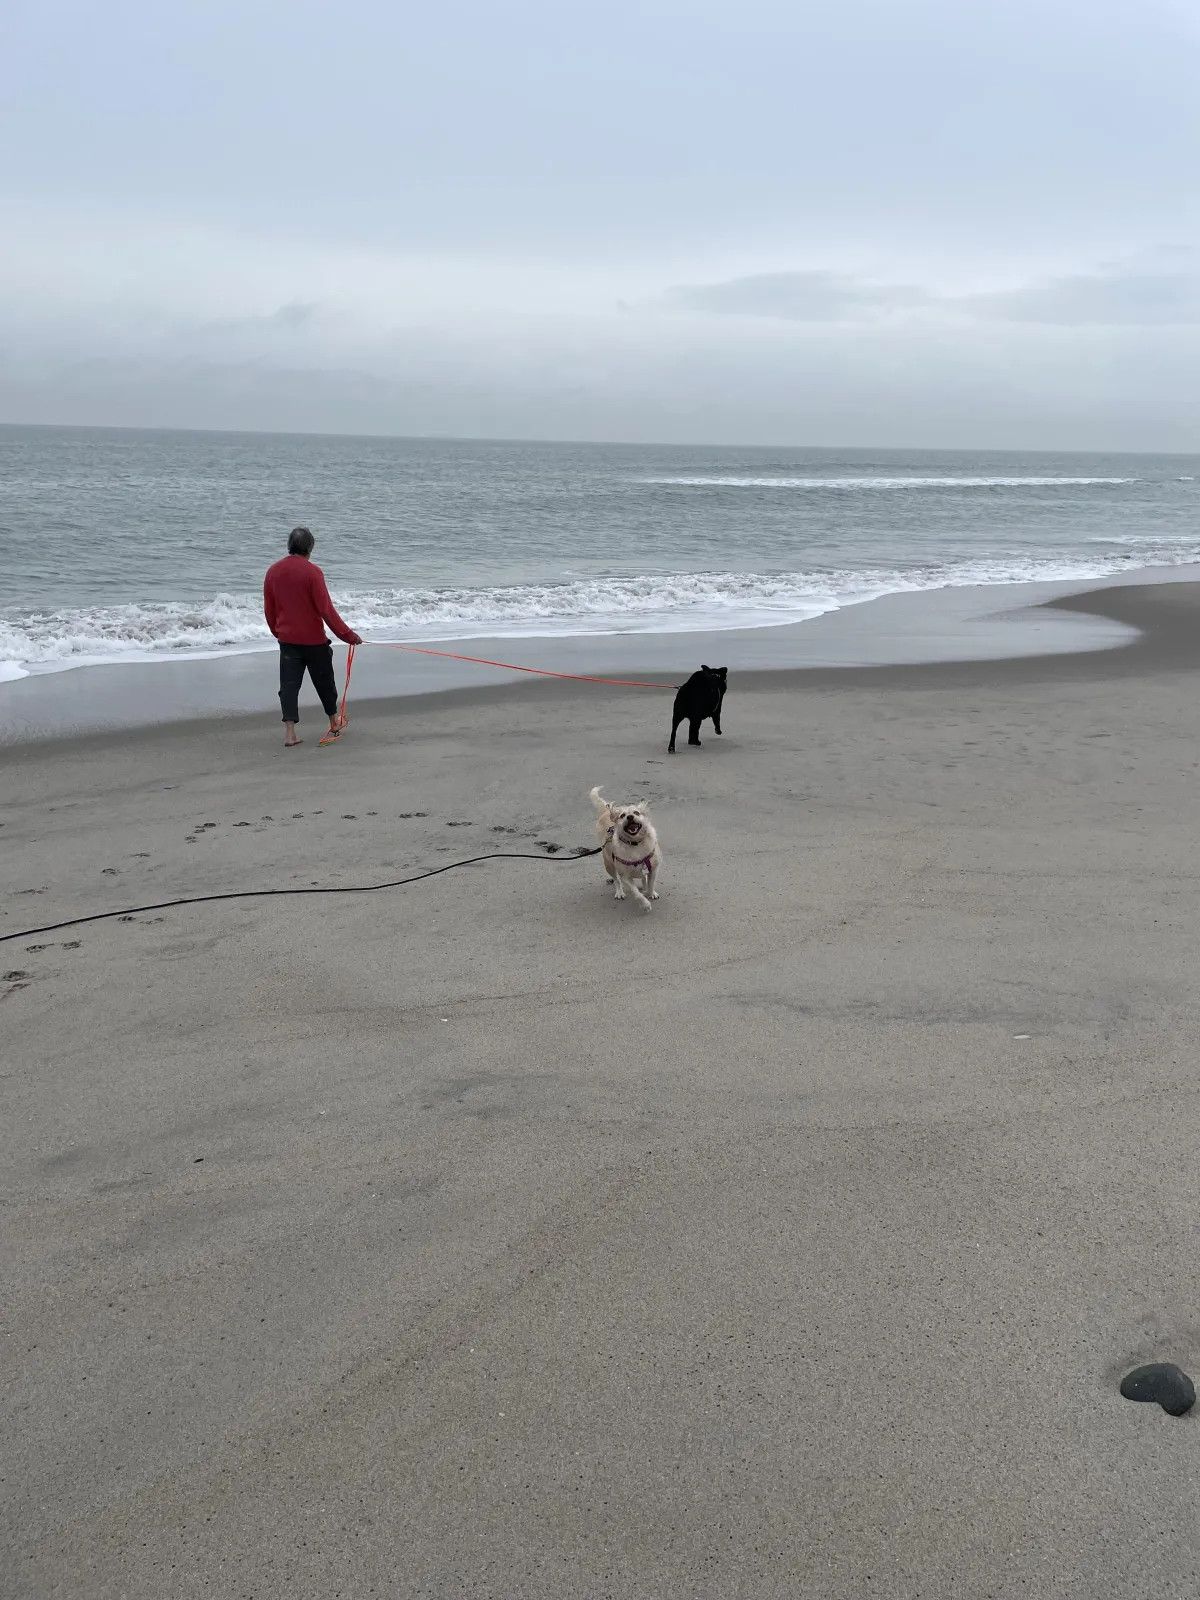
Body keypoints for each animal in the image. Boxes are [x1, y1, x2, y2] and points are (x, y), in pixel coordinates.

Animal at [588, 787, 662, 915]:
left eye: (636, 813)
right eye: (622, 815)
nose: (630, 817)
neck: (635, 843)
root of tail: (606, 812)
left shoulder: (654, 869)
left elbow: (651, 884)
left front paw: (650, 892)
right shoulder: (625, 877)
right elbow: (636, 893)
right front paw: (645, 904)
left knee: (643, 878)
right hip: (609, 864)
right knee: (616, 880)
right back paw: (620, 892)